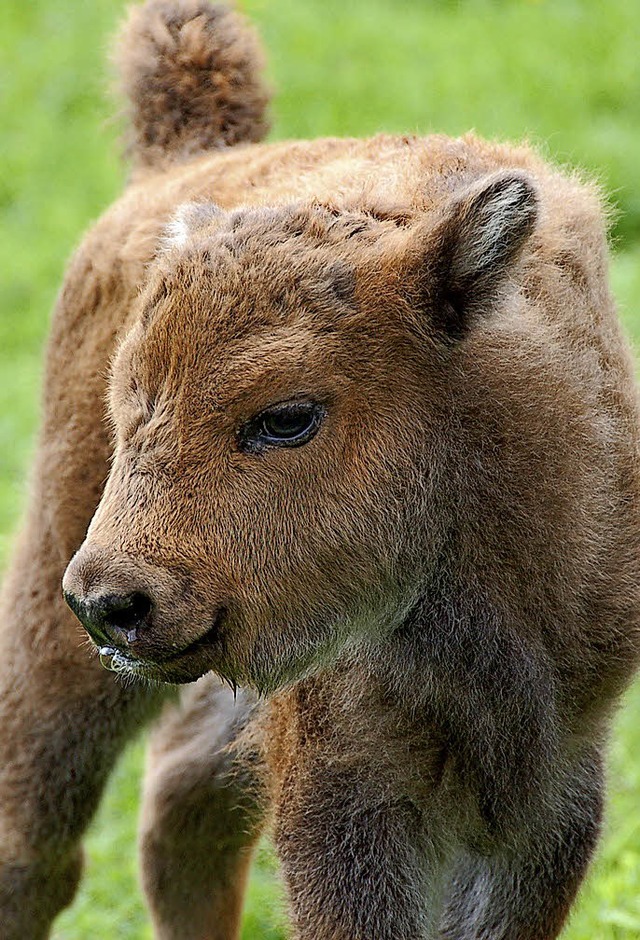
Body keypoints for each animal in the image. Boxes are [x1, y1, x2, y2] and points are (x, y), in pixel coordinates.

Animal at [1, 1, 640, 940]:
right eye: (130, 408)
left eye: (287, 418)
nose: (112, 602)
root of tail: (184, 161)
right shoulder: (343, 780)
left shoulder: (553, 781)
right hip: (61, 602)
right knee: (38, 837)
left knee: (181, 803)